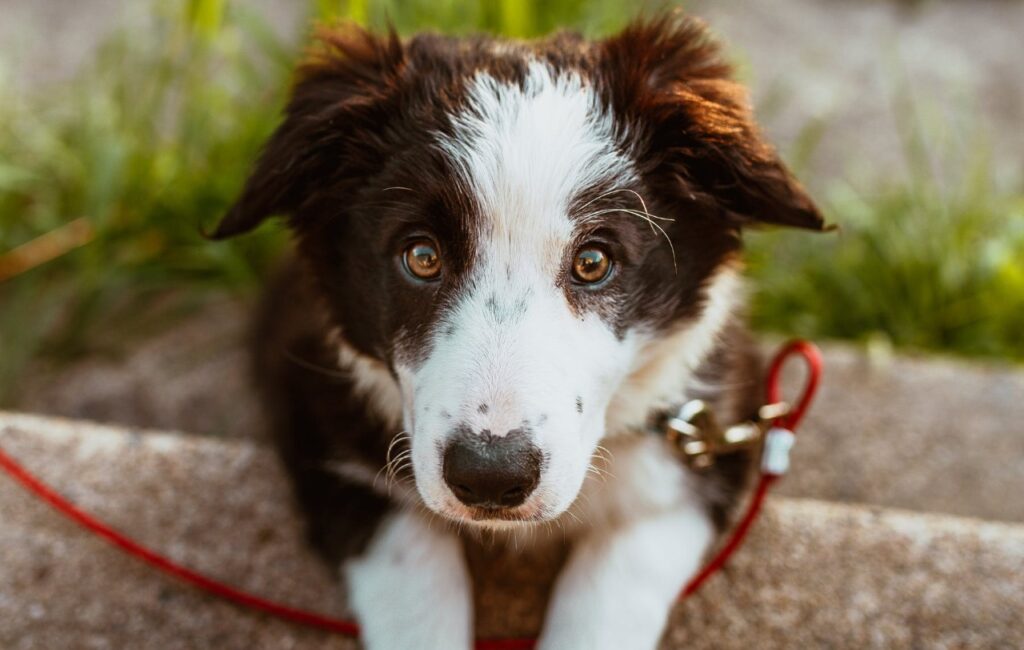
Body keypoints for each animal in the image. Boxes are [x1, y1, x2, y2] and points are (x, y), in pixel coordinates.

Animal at [209, 10, 823, 650]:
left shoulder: (704, 449)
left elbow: (611, 592)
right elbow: (414, 579)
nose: (489, 478)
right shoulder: (318, 420)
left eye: (594, 261)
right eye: (421, 256)